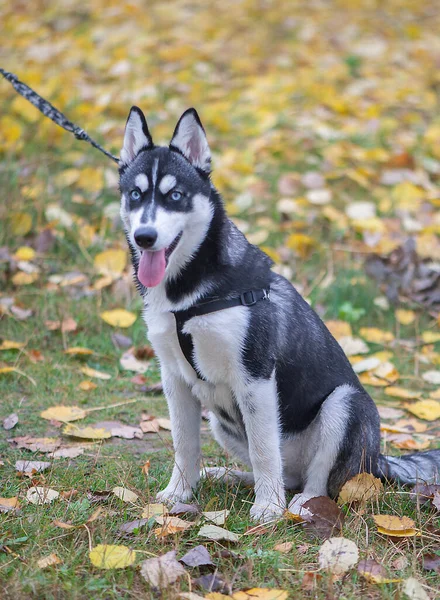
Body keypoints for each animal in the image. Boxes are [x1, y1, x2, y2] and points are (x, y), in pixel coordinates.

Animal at [118, 106, 440, 520]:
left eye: (176, 195)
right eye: (135, 194)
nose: (144, 237)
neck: (186, 297)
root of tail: (378, 460)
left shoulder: (254, 377)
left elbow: (264, 450)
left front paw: (268, 509)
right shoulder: (175, 379)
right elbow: (183, 445)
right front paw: (178, 493)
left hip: (345, 405)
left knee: (317, 480)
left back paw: (302, 504)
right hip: (222, 422)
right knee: (284, 473)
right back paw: (231, 476)